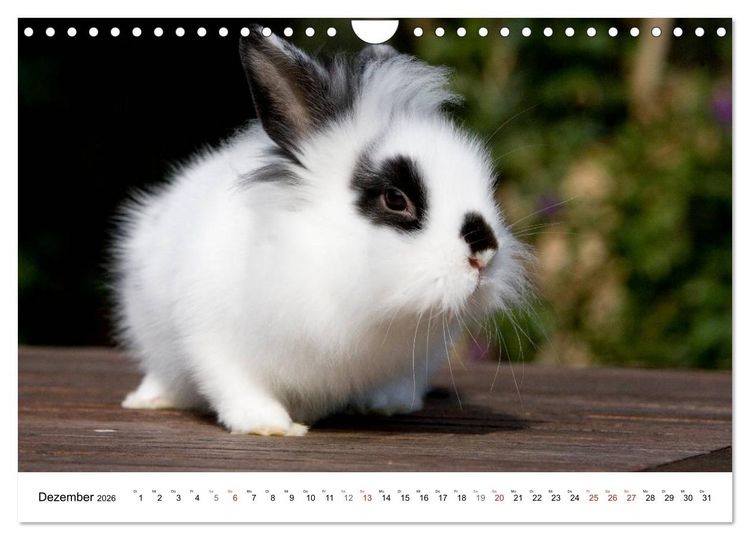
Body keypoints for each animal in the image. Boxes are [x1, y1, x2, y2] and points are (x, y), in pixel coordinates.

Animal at [111, 26, 530, 436]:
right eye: (395, 199)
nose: (484, 254)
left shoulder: (418, 356)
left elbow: (399, 382)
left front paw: (388, 406)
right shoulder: (214, 338)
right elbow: (237, 385)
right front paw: (269, 425)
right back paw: (149, 399)